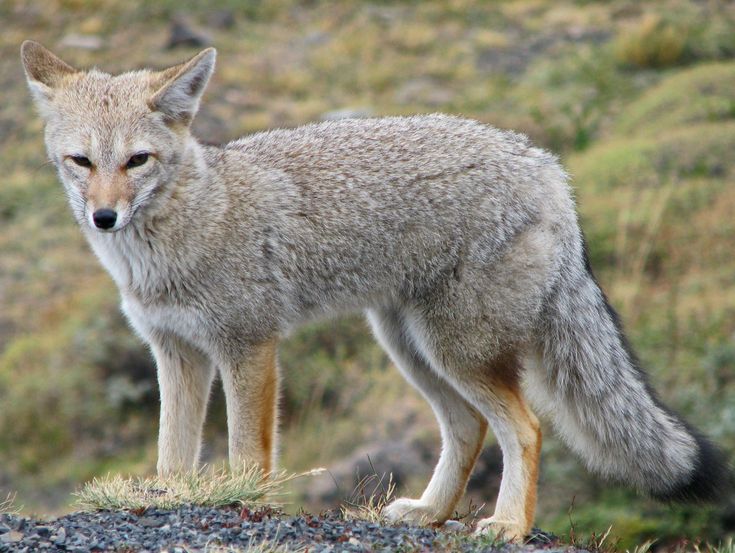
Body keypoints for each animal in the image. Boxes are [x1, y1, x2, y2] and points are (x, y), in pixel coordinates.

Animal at [21, 42, 732, 540]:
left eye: (136, 161)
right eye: (81, 162)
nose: (103, 217)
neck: (190, 225)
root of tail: (545, 166)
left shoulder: (248, 345)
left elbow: (247, 451)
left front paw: (244, 501)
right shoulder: (176, 352)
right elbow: (172, 453)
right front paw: (168, 497)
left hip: (455, 350)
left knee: (525, 427)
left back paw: (509, 525)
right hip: (409, 345)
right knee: (470, 427)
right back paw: (431, 513)